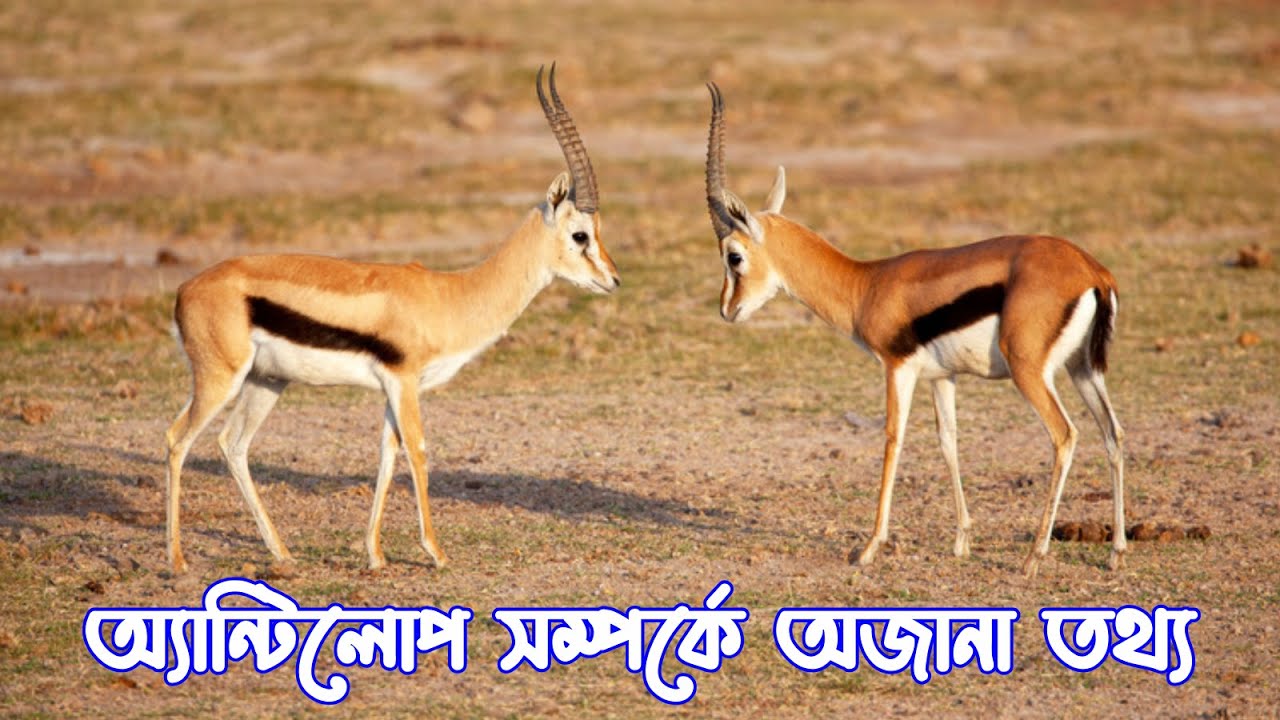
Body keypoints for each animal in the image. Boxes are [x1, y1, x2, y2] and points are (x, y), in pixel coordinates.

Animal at [163, 65, 619, 573]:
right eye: (580, 235)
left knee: (233, 444)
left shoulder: (392, 387)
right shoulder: (403, 381)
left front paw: (375, 554)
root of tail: (186, 289)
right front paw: (436, 552)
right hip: (220, 379)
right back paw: (177, 560)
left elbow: (388, 454)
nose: (613, 279)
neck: (449, 295)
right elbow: (417, 451)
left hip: (266, 381)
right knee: (177, 438)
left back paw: (281, 552)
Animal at [702, 84, 1125, 577]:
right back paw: (1117, 550)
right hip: (1084, 369)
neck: (866, 284)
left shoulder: (896, 367)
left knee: (1065, 435)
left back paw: (1034, 556)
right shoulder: (943, 377)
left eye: (733, 256)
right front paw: (961, 542)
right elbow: (948, 441)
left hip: (1031, 372)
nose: (727, 310)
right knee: (1113, 433)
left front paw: (868, 547)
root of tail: (1092, 271)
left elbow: (893, 438)